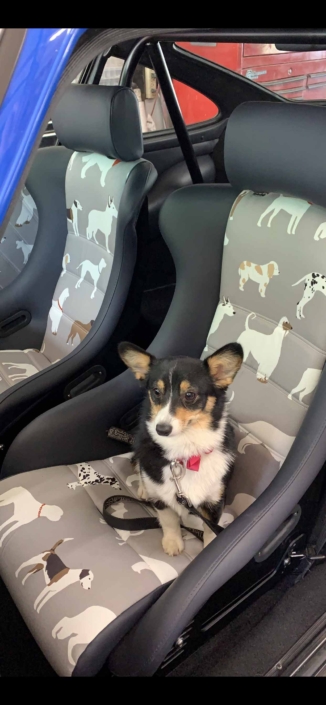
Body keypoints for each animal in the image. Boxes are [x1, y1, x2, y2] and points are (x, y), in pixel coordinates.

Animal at [118, 340, 243, 556]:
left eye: (190, 395)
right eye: (156, 392)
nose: (161, 429)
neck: (186, 452)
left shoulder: (215, 500)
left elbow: (211, 531)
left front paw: (209, 549)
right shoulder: (161, 498)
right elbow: (169, 521)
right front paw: (173, 543)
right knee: (139, 465)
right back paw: (143, 488)